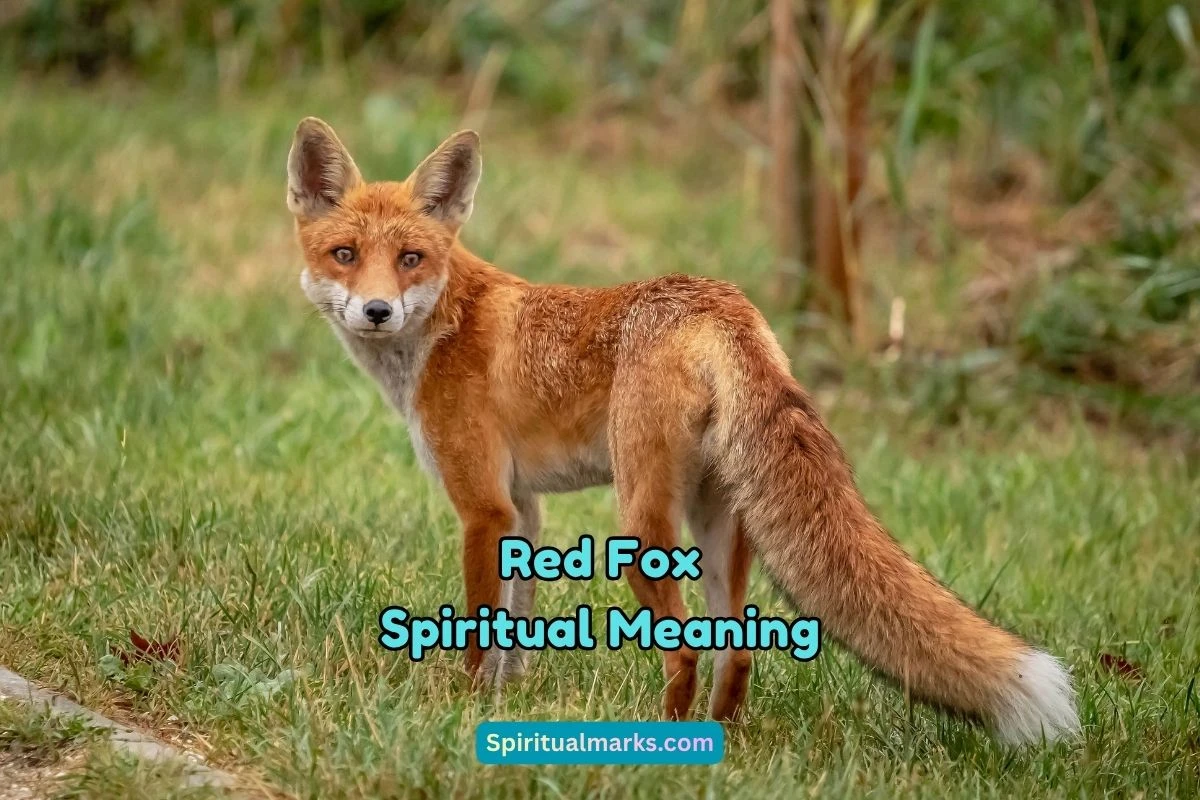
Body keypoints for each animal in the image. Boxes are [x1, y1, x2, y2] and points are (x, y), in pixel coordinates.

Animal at [286, 117, 1080, 745]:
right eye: (345, 255)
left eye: (411, 259)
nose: (378, 311)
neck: (442, 328)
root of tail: (720, 303)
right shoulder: (523, 508)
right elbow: (517, 625)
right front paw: (506, 700)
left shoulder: (483, 507)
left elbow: (484, 626)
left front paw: (467, 704)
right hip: (720, 524)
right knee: (737, 650)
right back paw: (721, 744)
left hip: (641, 523)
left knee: (687, 652)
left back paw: (662, 744)